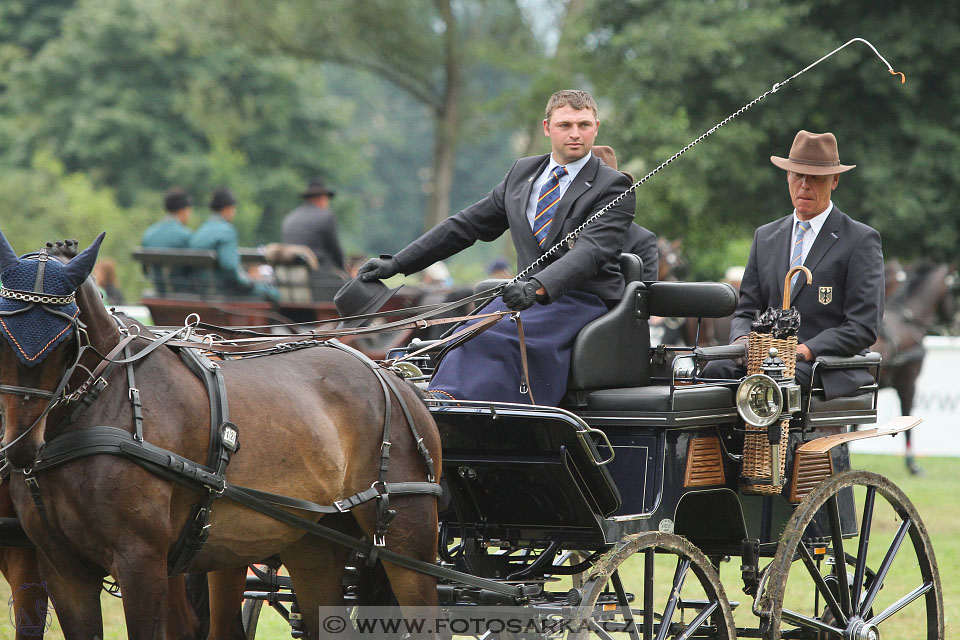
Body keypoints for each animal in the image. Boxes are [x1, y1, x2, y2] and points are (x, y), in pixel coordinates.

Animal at [0, 232, 442, 636]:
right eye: (2, 336)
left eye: (67, 339)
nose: (21, 447)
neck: (101, 403)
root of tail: (395, 377)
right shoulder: (61, 567)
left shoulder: (141, 562)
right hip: (314, 543)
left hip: (408, 541)